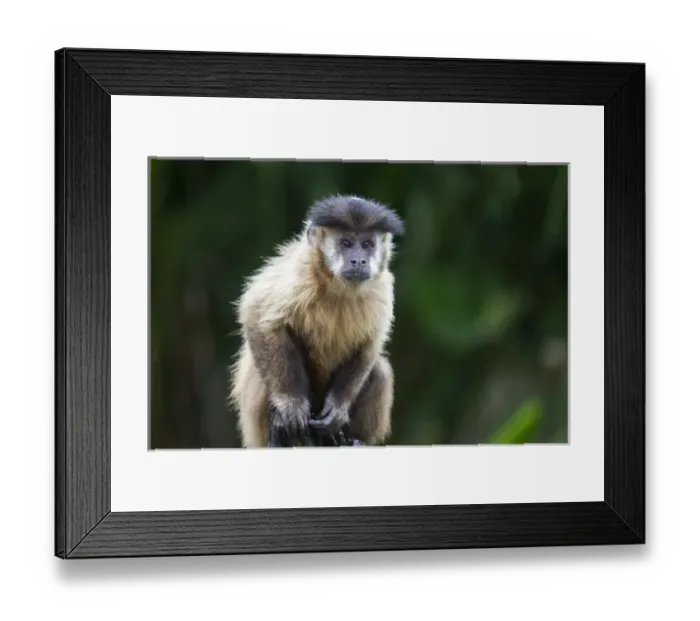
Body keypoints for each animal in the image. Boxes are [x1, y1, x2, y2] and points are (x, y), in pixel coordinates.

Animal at [228, 194, 405, 448]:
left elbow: (370, 345)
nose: (359, 260)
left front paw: (338, 409)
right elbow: (256, 314)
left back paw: (354, 440)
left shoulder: (382, 288)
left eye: (367, 245)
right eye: (346, 243)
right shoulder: (300, 272)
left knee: (379, 369)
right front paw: (291, 405)